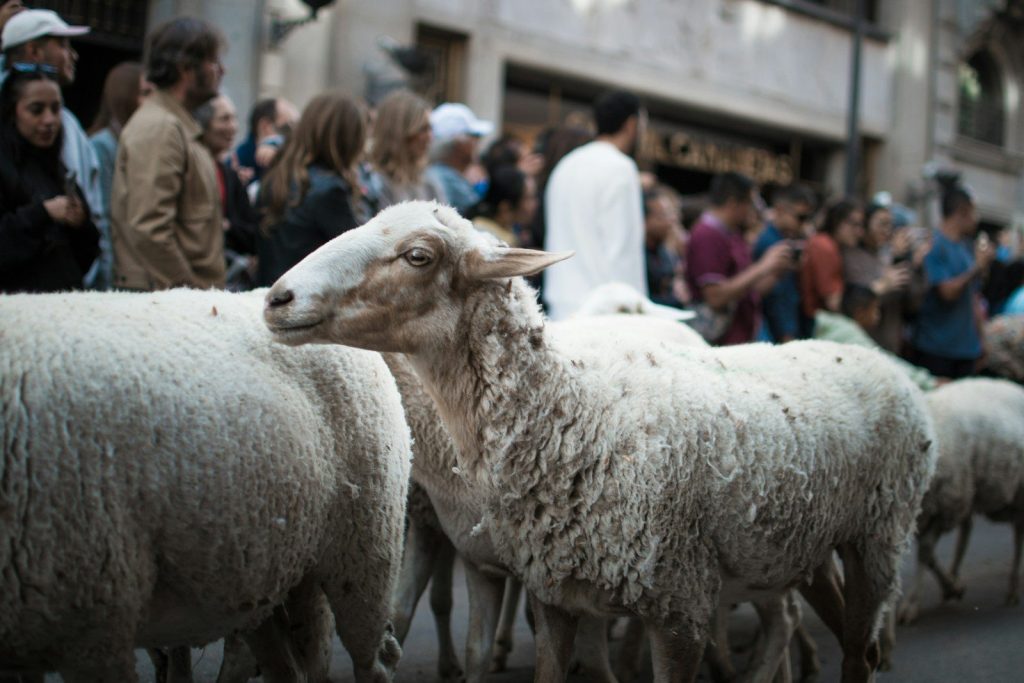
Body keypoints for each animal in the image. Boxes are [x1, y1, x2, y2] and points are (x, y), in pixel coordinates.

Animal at [263, 200, 936, 683]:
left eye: (418, 256)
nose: (277, 298)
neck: (574, 417)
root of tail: (877, 359)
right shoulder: (554, 594)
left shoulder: (680, 606)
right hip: (802, 550)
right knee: (836, 636)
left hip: (878, 535)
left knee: (858, 648)